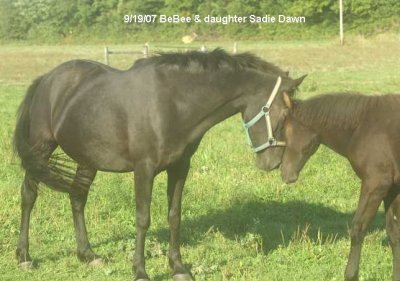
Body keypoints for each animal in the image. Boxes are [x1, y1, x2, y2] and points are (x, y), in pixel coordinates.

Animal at [14, 49, 304, 278]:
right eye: (282, 114)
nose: (272, 163)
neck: (172, 102)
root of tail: (46, 79)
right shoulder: (144, 170)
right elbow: (143, 218)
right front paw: (140, 271)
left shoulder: (180, 167)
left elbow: (174, 216)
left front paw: (178, 267)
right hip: (41, 150)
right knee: (29, 196)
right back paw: (24, 256)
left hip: (87, 158)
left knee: (77, 198)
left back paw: (87, 254)